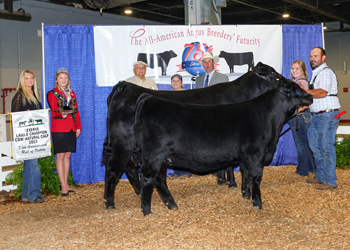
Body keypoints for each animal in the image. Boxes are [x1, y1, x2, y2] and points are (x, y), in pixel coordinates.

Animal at [101, 62, 278, 209]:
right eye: (273, 73)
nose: (283, 79)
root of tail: (125, 86)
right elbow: (240, 167)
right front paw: (239, 187)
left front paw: (224, 180)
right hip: (124, 143)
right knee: (114, 169)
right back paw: (110, 203)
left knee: (129, 168)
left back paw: (138, 194)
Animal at [135, 77, 314, 215]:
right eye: (297, 89)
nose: (311, 96)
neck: (271, 117)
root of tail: (150, 99)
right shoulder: (256, 154)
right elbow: (256, 177)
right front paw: (257, 203)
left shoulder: (246, 157)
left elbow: (245, 173)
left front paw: (245, 194)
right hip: (154, 156)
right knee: (147, 179)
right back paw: (147, 211)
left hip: (162, 159)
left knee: (159, 179)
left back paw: (171, 205)